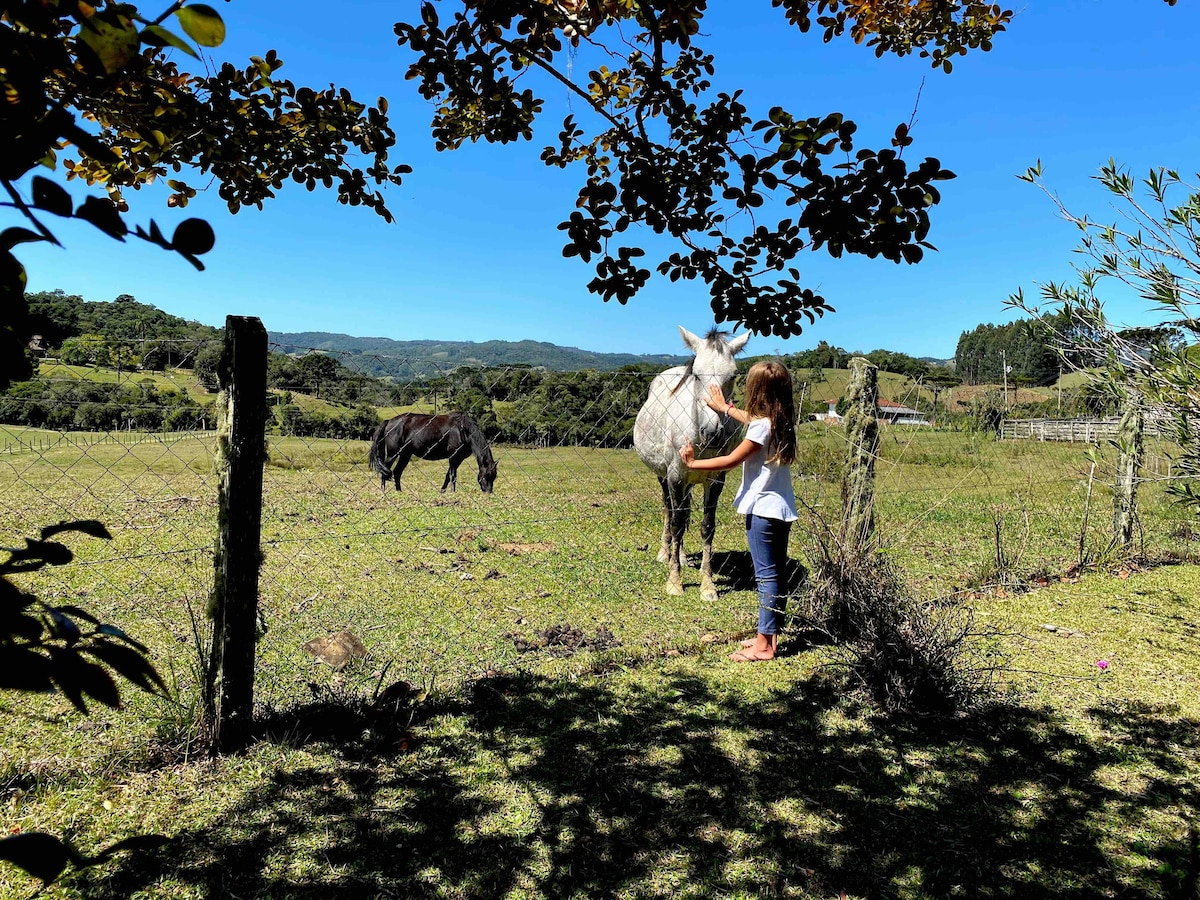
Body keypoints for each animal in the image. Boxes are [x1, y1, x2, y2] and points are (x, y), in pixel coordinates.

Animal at [364, 415, 496, 494]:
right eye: (485, 476)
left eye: (494, 477)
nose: (488, 492)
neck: (463, 429)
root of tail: (389, 421)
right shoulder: (453, 457)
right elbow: (453, 475)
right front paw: (453, 492)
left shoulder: (458, 459)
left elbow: (448, 475)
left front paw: (443, 491)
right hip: (393, 453)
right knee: (385, 469)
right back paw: (383, 490)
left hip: (405, 454)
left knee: (397, 472)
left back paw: (399, 491)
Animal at [633, 328, 744, 602]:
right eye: (696, 374)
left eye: (733, 375)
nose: (712, 433)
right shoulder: (675, 477)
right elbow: (676, 523)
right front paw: (674, 582)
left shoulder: (715, 481)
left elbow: (707, 527)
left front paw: (708, 586)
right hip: (664, 478)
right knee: (670, 512)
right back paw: (666, 553)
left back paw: (681, 557)